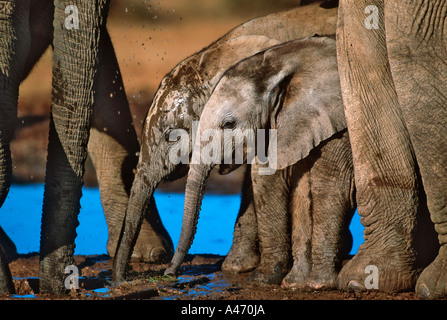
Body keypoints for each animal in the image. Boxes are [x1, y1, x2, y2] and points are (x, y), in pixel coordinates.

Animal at [164, 36, 356, 288]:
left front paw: (278, 282)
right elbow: (296, 187)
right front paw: (291, 284)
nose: (169, 273)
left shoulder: (340, 123)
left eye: (229, 124)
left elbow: (328, 185)